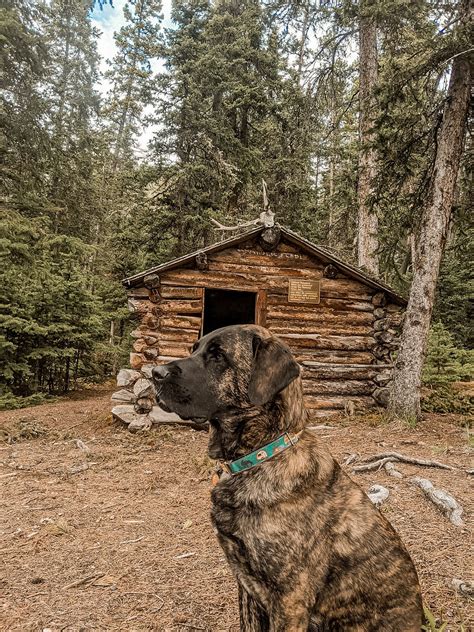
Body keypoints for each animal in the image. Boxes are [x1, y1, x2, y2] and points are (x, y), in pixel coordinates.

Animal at [154, 326, 424, 632]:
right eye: (195, 348)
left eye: (218, 355)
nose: (155, 372)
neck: (261, 456)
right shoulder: (246, 587)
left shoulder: (289, 600)